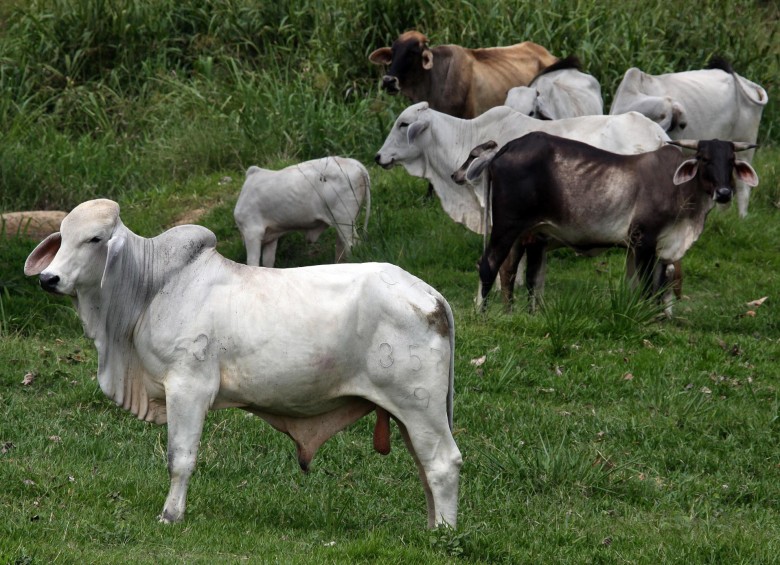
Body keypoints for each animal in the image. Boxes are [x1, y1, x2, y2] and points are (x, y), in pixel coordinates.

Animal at [24, 199, 460, 528]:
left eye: (95, 238)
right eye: (62, 235)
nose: (49, 278)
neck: (151, 287)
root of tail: (431, 295)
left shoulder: (188, 386)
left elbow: (180, 458)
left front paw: (171, 515)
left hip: (420, 404)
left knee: (442, 463)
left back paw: (443, 535)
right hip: (407, 412)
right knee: (424, 466)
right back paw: (432, 526)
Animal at [233, 155, 370, 268]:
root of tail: (354, 163)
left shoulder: (252, 231)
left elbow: (253, 262)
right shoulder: (271, 235)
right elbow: (268, 262)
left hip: (344, 219)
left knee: (352, 245)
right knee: (342, 247)